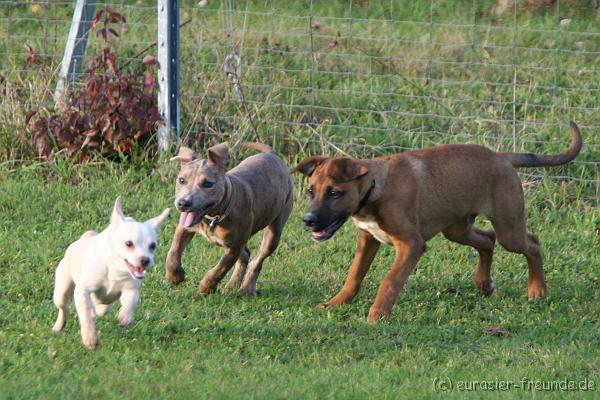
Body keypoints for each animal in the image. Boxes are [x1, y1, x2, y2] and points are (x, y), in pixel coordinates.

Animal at [51, 197, 170, 350]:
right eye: (129, 243)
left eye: (153, 246)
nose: (145, 260)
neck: (116, 269)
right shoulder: (82, 291)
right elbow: (85, 316)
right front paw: (89, 337)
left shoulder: (131, 288)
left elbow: (131, 301)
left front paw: (125, 316)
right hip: (62, 290)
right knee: (64, 307)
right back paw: (59, 325)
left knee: (100, 308)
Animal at [166, 143, 292, 294]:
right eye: (181, 180)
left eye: (208, 184)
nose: (183, 203)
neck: (214, 217)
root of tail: (272, 154)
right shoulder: (184, 228)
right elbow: (173, 252)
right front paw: (175, 276)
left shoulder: (234, 247)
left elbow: (220, 269)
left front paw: (206, 287)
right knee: (246, 255)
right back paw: (232, 286)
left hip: (273, 232)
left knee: (257, 260)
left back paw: (246, 288)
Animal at [294, 122, 580, 322]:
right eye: (310, 191)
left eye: (334, 193)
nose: (308, 221)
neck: (376, 188)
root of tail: (501, 157)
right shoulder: (367, 240)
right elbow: (354, 275)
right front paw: (336, 302)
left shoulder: (411, 245)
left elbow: (390, 280)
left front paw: (378, 314)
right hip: (457, 229)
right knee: (487, 240)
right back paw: (484, 284)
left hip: (509, 229)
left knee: (532, 244)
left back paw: (537, 290)